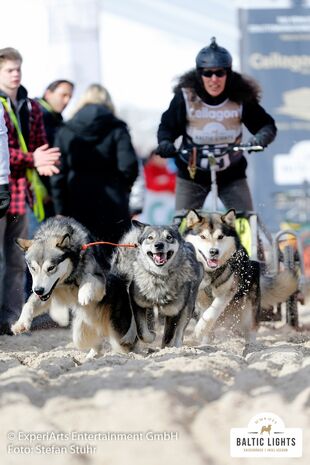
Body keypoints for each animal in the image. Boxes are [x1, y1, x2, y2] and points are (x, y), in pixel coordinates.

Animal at [11, 216, 135, 354]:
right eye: (33, 268)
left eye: (51, 268)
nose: (38, 290)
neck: (66, 280)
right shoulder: (47, 292)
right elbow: (29, 304)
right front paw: (21, 323)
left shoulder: (100, 283)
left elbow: (88, 278)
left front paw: (84, 294)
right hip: (81, 331)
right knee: (93, 343)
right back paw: (92, 355)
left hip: (117, 333)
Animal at [184, 208, 298, 342]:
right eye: (202, 236)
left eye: (220, 236)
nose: (213, 251)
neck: (211, 272)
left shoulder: (228, 291)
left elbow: (212, 311)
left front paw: (200, 329)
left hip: (248, 311)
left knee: (251, 328)